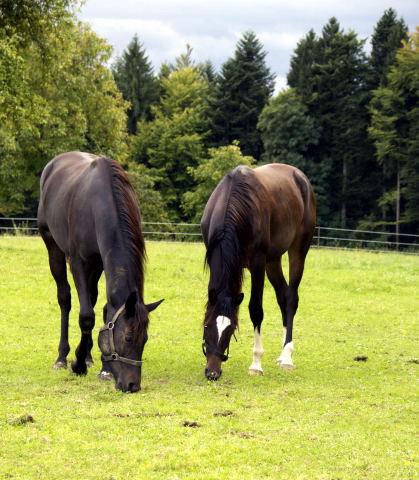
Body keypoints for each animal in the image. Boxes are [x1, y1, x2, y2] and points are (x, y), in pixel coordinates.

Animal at [37, 152, 163, 392]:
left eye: (145, 340)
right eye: (128, 338)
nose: (132, 385)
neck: (100, 204)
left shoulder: (102, 263)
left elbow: (104, 312)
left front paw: (103, 369)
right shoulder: (78, 262)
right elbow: (86, 316)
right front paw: (77, 365)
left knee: (92, 299)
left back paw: (88, 357)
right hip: (53, 246)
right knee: (65, 298)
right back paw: (62, 357)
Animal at [202, 163, 316, 380]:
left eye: (230, 330)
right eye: (206, 326)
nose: (212, 372)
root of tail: (300, 178)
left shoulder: (257, 263)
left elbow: (255, 310)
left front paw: (256, 364)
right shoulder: (214, 258)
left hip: (297, 250)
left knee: (291, 298)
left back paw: (287, 356)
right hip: (273, 260)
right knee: (283, 296)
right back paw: (282, 353)